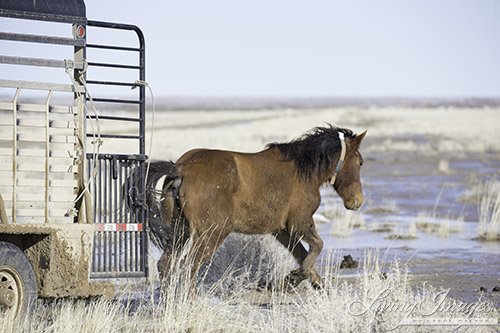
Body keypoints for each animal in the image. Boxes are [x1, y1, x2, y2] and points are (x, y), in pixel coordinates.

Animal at [146, 124, 366, 288]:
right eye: (361, 162)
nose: (357, 201)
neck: (303, 170)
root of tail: (181, 168)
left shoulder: (281, 230)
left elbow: (302, 255)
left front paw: (309, 282)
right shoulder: (300, 223)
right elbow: (317, 246)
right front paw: (295, 277)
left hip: (179, 231)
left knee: (166, 265)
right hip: (212, 233)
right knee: (188, 267)